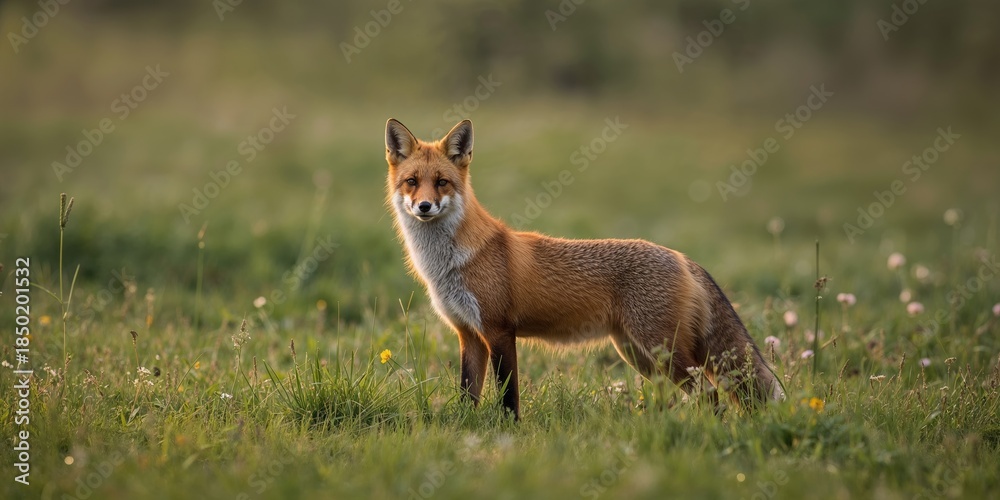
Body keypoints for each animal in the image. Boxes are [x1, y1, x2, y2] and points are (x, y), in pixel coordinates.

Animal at [385, 118, 783, 420]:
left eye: (442, 182)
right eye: (411, 182)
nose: (423, 206)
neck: (448, 264)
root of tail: (684, 257)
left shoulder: (499, 332)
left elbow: (509, 397)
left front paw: (508, 434)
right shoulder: (468, 334)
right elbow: (469, 394)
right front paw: (466, 429)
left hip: (661, 351)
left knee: (710, 394)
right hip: (639, 355)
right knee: (692, 395)